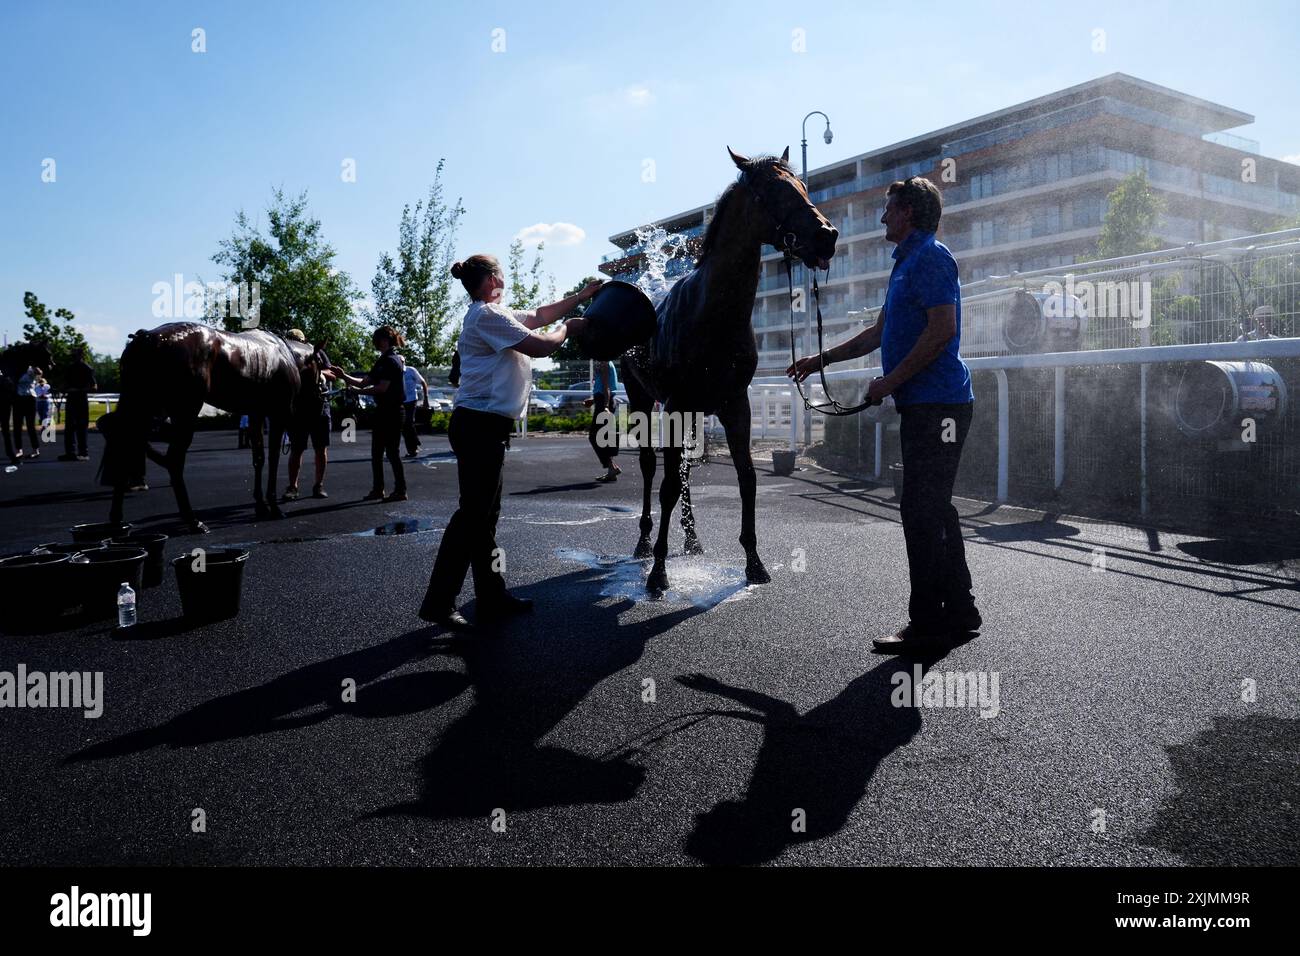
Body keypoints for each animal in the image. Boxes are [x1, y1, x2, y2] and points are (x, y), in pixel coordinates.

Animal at [101, 322, 324, 533]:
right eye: (321, 363)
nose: (321, 390)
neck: (285, 354)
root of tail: (145, 337)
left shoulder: (256, 415)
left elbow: (259, 459)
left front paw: (260, 506)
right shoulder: (278, 415)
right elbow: (274, 459)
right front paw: (274, 507)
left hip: (141, 404)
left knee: (125, 440)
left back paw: (117, 520)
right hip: (183, 410)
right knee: (172, 459)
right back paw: (192, 521)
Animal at [619, 147, 838, 593]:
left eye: (803, 186)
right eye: (773, 190)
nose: (827, 235)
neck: (712, 314)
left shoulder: (735, 405)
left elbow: (747, 479)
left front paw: (754, 563)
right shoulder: (674, 403)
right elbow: (667, 484)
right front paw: (658, 573)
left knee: (684, 471)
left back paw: (692, 540)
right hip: (642, 399)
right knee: (651, 468)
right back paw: (645, 544)